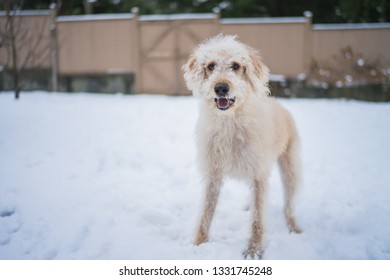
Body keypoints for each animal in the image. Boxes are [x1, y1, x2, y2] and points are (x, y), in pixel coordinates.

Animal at [183, 34, 302, 260]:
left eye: (235, 65)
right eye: (211, 66)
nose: (221, 88)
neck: (230, 122)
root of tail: (280, 105)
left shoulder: (258, 175)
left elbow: (258, 219)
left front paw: (254, 251)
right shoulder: (213, 175)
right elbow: (206, 212)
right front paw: (198, 244)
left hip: (290, 168)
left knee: (289, 205)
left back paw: (294, 228)